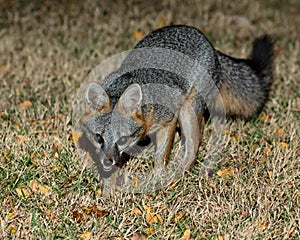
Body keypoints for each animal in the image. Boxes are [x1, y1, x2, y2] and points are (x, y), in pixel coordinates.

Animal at [78, 24, 274, 193]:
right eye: (99, 138)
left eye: (123, 139)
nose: (107, 161)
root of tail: (207, 42)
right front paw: (107, 191)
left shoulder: (168, 120)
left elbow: (161, 156)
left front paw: (157, 178)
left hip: (187, 110)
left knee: (196, 139)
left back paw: (180, 173)